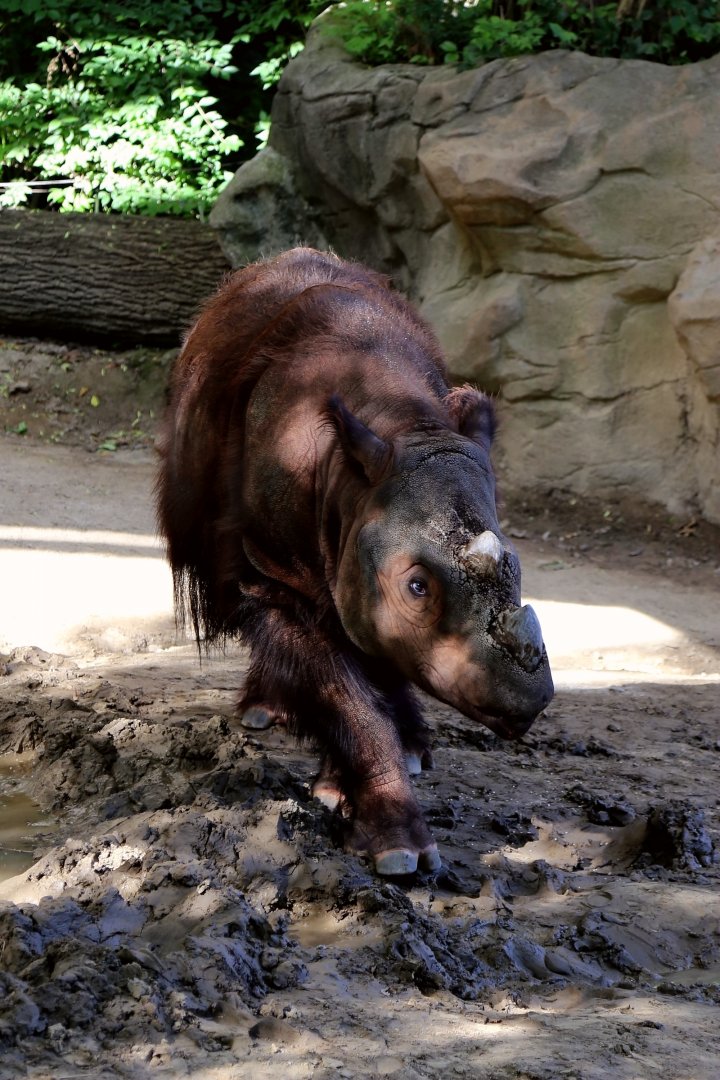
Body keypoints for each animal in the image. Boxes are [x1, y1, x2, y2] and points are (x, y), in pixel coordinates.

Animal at [157, 247, 553, 874]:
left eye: (516, 568)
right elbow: (340, 690)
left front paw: (344, 791)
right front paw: (398, 852)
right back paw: (263, 716)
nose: (525, 701)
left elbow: (380, 647)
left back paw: (406, 750)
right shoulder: (271, 565)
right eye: (417, 586)